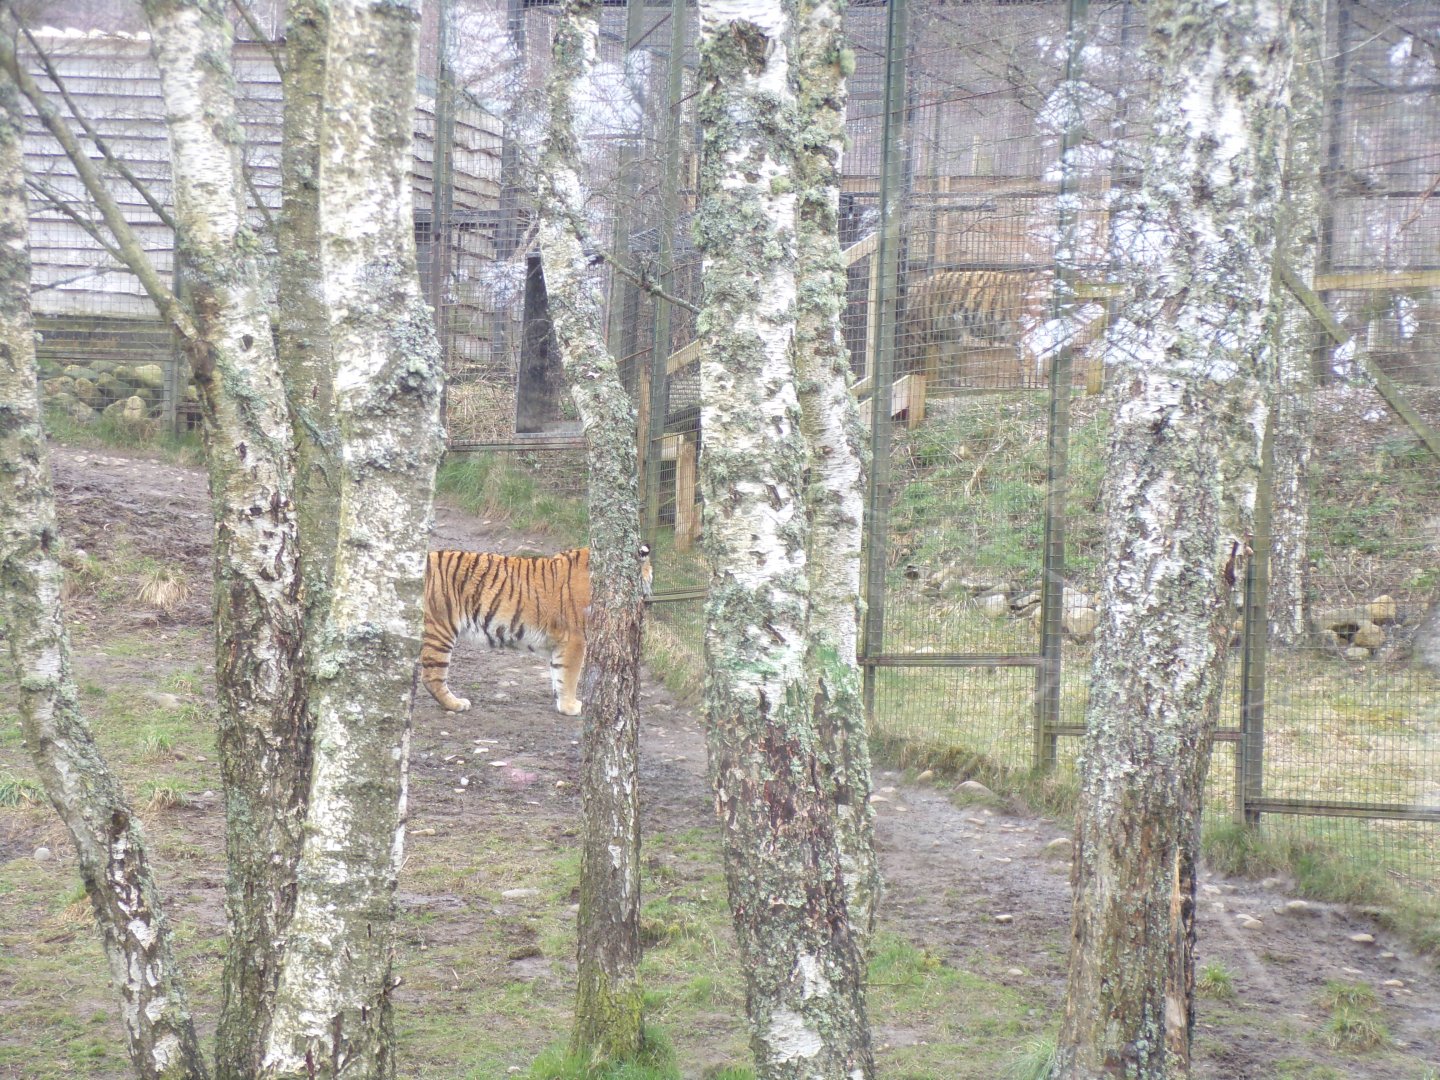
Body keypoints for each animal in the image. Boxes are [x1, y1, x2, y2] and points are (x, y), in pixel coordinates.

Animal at [420, 543, 654, 716]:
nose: (651, 590)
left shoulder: (562, 645)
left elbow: (558, 674)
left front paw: (562, 703)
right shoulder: (575, 639)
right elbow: (570, 676)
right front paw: (571, 707)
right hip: (439, 629)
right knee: (432, 676)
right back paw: (456, 704)